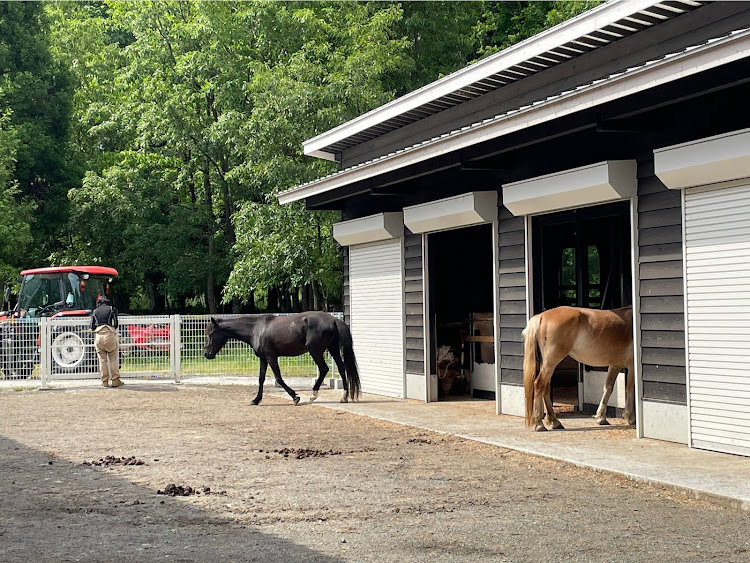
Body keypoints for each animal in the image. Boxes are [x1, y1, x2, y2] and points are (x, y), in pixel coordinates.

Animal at [203, 312, 362, 406]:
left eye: (211, 334)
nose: (206, 354)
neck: (256, 329)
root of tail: (334, 320)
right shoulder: (263, 359)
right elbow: (261, 379)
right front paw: (256, 400)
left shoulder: (271, 357)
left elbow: (278, 378)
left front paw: (295, 397)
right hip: (333, 349)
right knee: (341, 368)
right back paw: (344, 397)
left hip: (316, 352)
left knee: (324, 369)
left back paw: (313, 395)